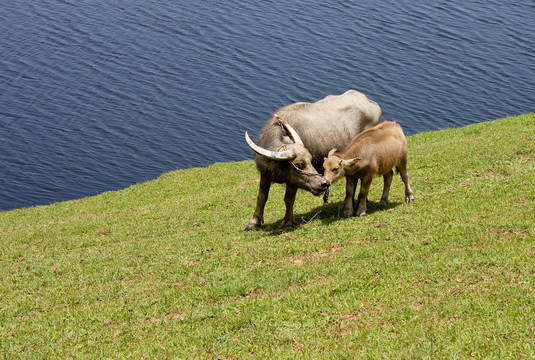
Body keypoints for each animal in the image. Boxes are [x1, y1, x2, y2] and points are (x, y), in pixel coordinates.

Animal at [245, 90, 384, 231]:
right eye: (299, 164)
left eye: (310, 160)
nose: (323, 184)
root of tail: (372, 103)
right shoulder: (265, 173)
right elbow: (261, 197)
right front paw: (253, 222)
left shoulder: (293, 180)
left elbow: (288, 199)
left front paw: (288, 221)